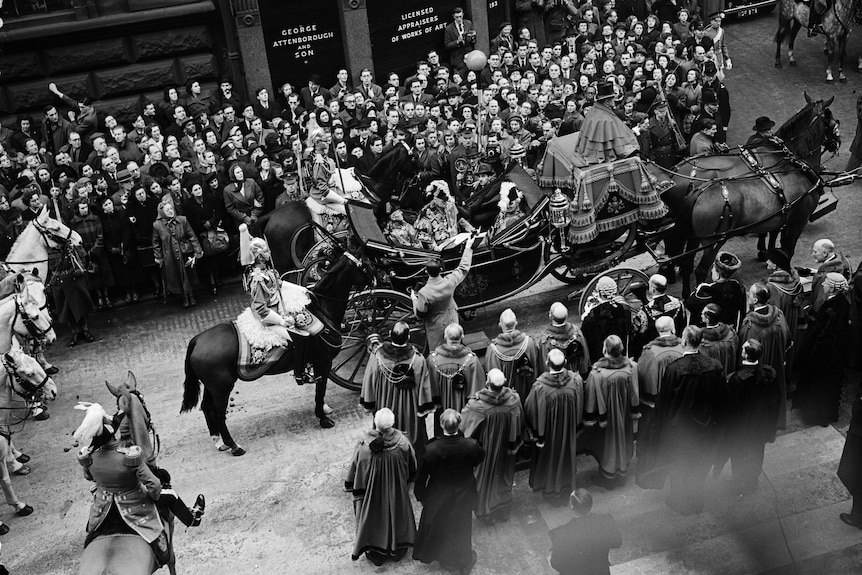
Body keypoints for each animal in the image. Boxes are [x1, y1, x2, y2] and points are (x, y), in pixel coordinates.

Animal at [182, 250, 372, 456]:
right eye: (363, 266)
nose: (377, 278)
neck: (322, 311)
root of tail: (197, 340)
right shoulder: (323, 362)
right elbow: (320, 391)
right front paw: (323, 418)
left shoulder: (317, 363)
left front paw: (324, 409)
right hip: (221, 388)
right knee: (218, 414)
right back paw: (234, 445)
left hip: (212, 387)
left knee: (206, 408)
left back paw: (218, 441)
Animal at [652, 94, 840, 296]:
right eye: (832, 120)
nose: (837, 142)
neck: (789, 162)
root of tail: (674, 171)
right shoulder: (798, 221)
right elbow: (787, 248)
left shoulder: (780, 213)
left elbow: (773, 231)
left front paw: (768, 254)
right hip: (712, 240)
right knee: (697, 267)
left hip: (691, 232)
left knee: (684, 260)